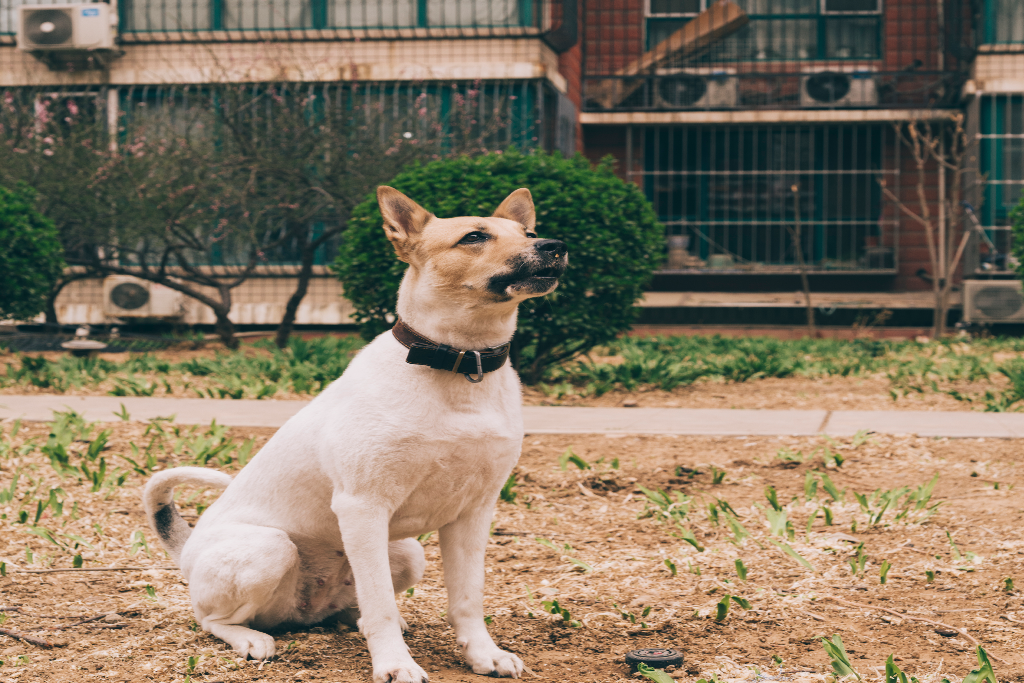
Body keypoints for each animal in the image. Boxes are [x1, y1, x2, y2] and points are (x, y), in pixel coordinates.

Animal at [142, 185, 569, 683]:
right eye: (475, 237)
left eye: (529, 233)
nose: (556, 246)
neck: (460, 363)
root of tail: (187, 548)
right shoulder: (363, 507)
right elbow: (379, 600)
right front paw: (395, 664)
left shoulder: (473, 513)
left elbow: (466, 598)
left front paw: (483, 654)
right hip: (268, 548)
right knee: (212, 618)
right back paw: (250, 638)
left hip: (406, 552)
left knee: (351, 605)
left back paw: (353, 619)